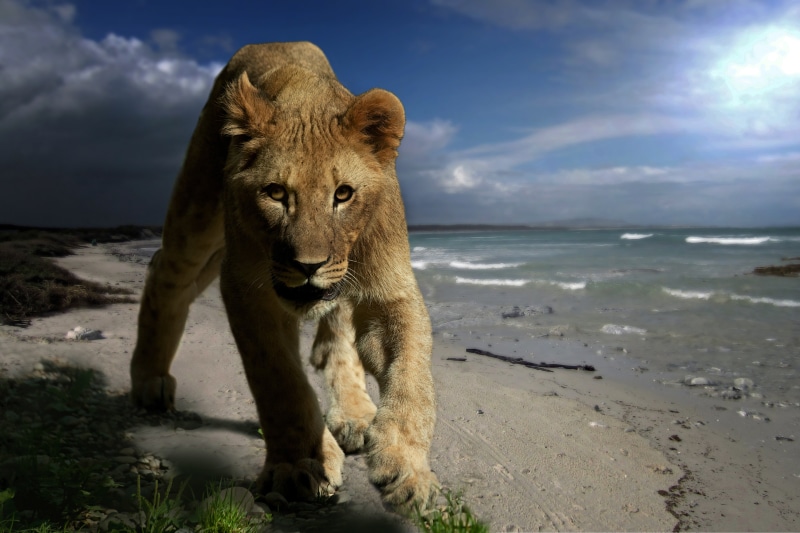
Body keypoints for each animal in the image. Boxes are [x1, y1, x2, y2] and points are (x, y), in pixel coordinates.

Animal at [129, 41, 438, 512]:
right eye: (275, 193)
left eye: (343, 194)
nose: (309, 266)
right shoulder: (245, 286)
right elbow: (279, 382)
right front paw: (298, 466)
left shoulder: (389, 290)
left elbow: (412, 378)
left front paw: (406, 469)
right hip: (198, 209)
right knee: (166, 270)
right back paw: (149, 380)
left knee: (337, 337)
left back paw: (354, 414)